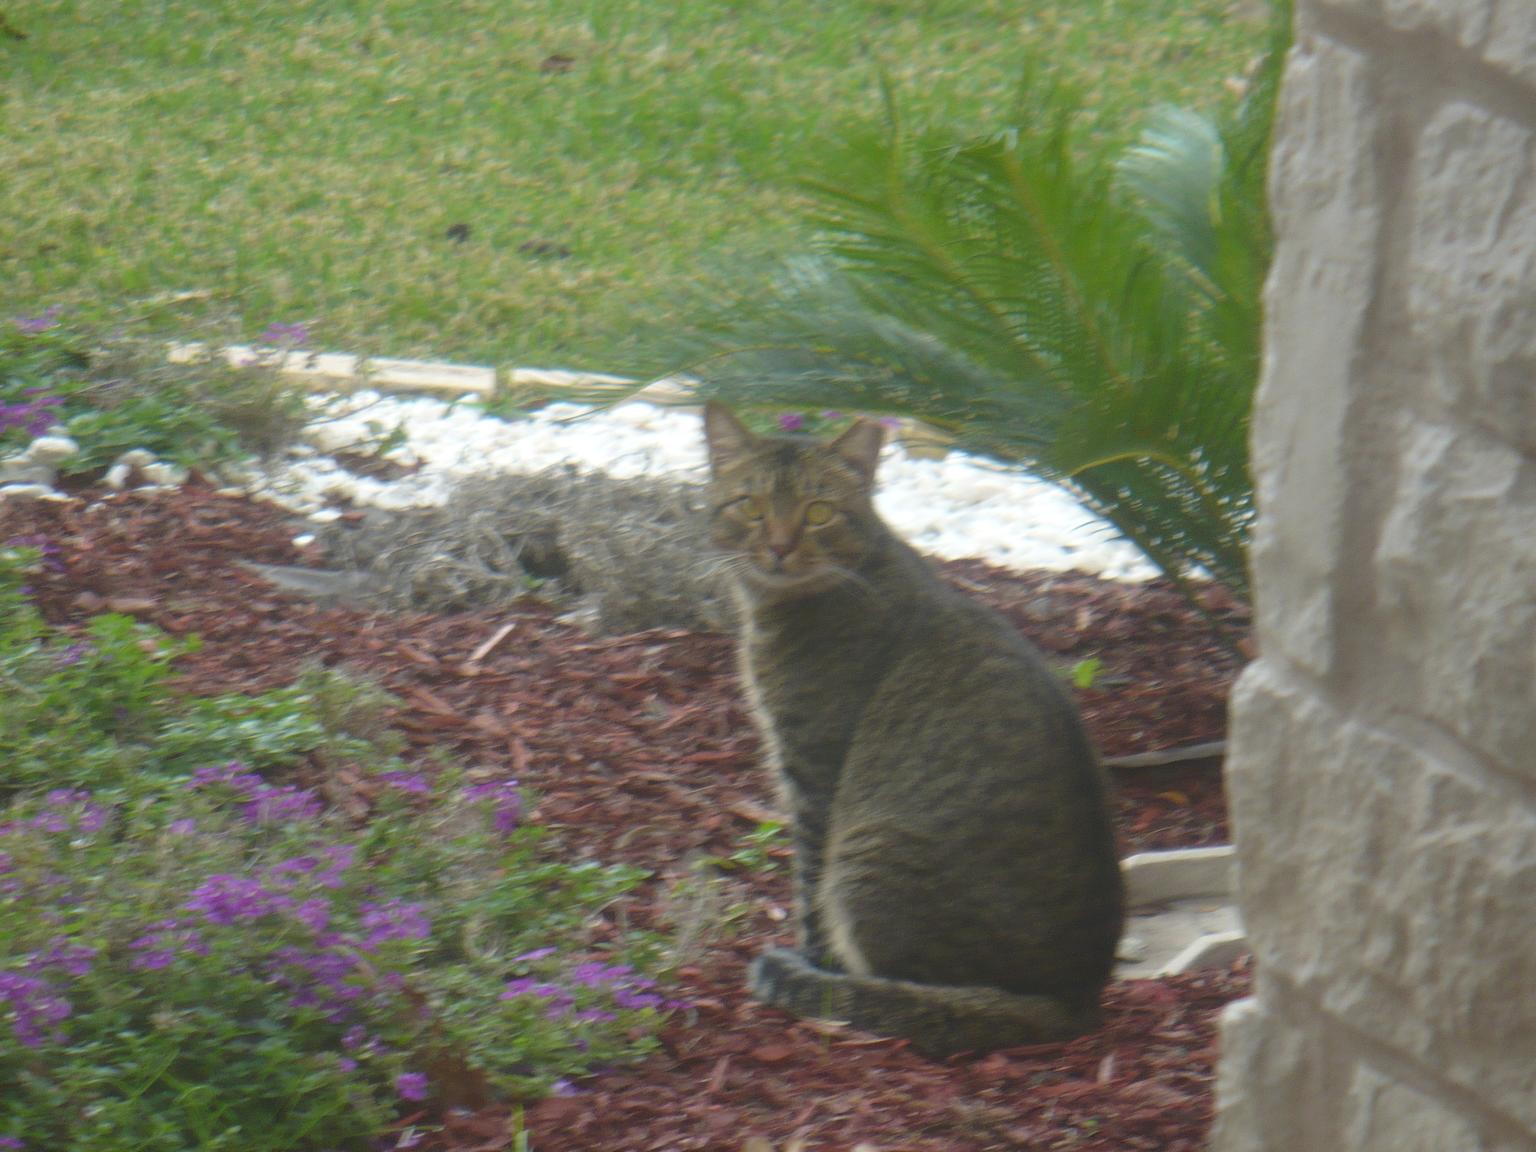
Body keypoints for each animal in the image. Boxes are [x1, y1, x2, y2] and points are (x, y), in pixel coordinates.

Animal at [703, 402, 1124, 1056]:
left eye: (818, 511)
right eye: (750, 505)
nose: (777, 547)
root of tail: (1074, 999)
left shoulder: (813, 769)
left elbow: (807, 889)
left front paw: (815, 965)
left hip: (871, 852)